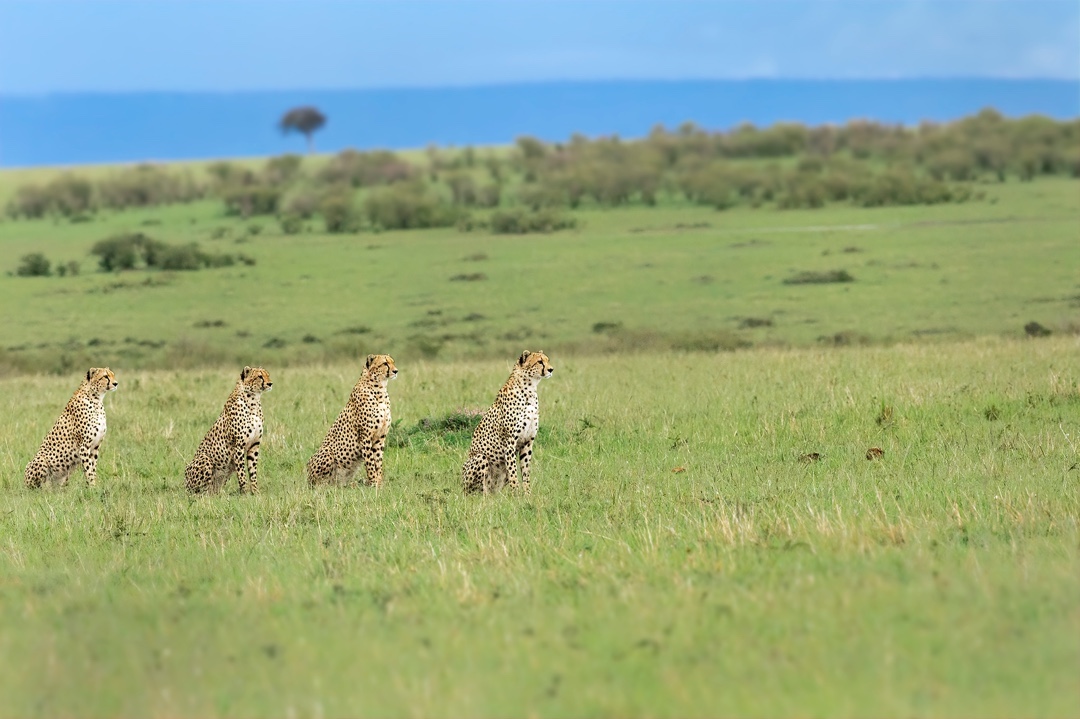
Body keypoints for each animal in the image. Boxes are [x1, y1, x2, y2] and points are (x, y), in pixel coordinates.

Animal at [184, 364, 272, 492]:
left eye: (268, 375)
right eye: (259, 376)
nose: (270, 383)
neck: (253, 401)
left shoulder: (254, 445)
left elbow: (253, 472)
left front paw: (255, 492)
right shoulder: (239, 446)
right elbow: (242, 473)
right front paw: (245, 493)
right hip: (205, 459)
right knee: (200, 491)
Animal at [306, 354, 399, 487]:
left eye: (393, 362)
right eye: (385, 363)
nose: (396, 371)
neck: (380, 389)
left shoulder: (380, 438)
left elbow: (378, 462)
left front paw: (379, 483)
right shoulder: (365, 437)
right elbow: (370, 463)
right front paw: (374, 484)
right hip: (327, 452)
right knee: (320, 484)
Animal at [460, 347, 552, 492]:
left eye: (547, 360)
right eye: (539, 362)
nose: (551, 369)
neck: (530, 389)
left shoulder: (528, 441)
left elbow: (526, 472)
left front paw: (527, 494)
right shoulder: (510, 442)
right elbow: (513, 471)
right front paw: (516, 493)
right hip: (479, 459)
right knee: (479, 490)